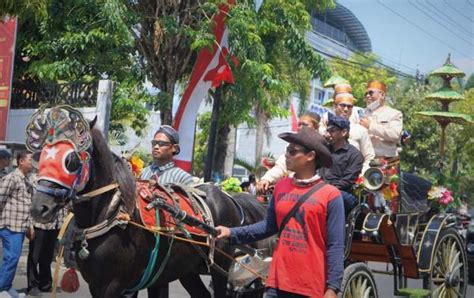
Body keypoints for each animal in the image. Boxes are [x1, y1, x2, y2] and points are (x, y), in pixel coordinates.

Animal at [30, 127, 270, 296]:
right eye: (42, 156)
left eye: (70, 160)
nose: (39, 207)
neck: (111, 214)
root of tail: (230, 198)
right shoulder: (102, 284)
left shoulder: (112, 285)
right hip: (189, 271)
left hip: (220, 267)